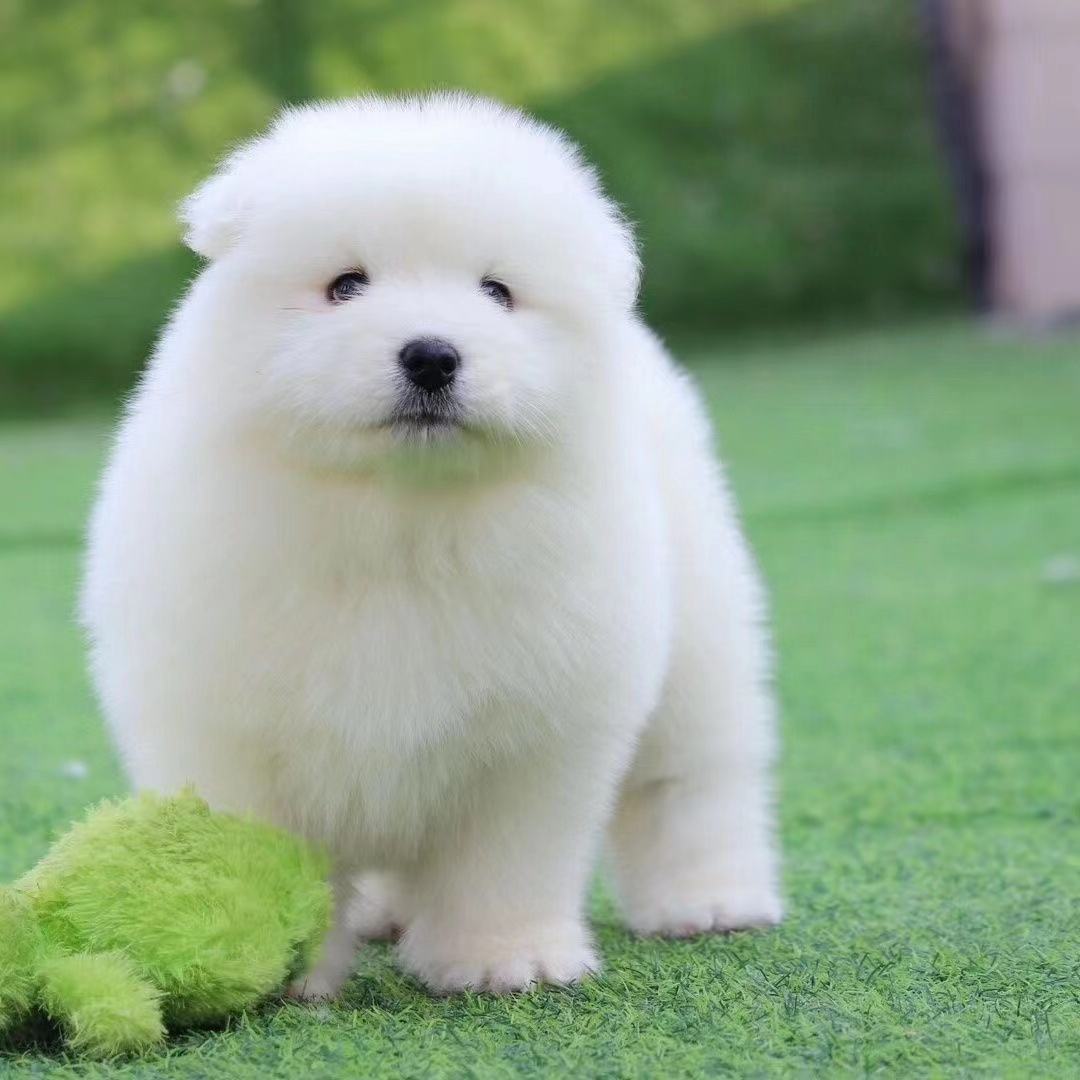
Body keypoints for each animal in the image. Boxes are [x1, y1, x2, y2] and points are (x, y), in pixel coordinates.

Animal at [79, 92, 781, 993]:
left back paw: (711, 901)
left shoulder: (533, 733)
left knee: (690, 780)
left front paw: (503, 958)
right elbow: (261, 851)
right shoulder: (231, 726)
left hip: (698, 635)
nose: (432, 354)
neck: (401, 521)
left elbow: (503, 861)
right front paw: (272, 967)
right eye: (345, 285)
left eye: (497, 292)